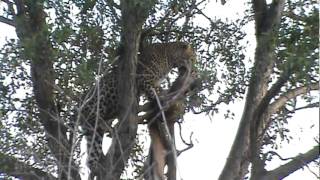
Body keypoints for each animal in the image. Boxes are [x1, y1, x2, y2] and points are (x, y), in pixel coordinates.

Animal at [78, 41, 196, 176]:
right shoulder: (146, 78)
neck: (170, 57)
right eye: (193, 58)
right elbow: (157, 92)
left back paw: (95, 165)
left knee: (92, 149)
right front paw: (163, 100)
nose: (194, 69)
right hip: (102, 94)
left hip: (94, 132)